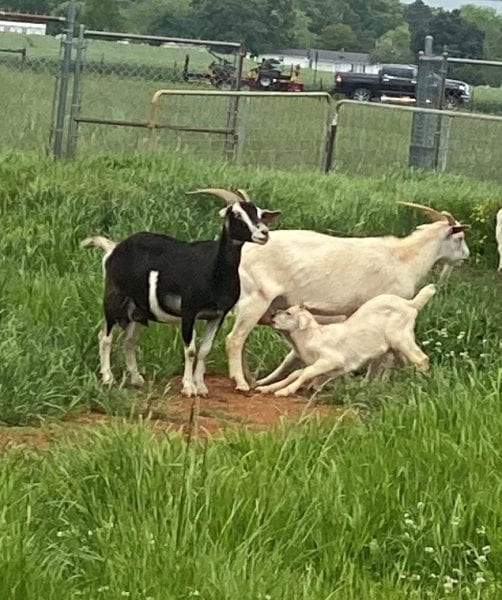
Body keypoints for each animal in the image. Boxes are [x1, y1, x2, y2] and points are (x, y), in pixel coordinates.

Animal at [80, 188, 280, 394]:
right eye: (237, 214)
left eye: (259, 214)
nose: (264, 233)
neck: (213, 269)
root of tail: (113, 248)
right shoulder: (189, 311)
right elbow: (190, 350)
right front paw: (188, 387)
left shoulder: (217, 315)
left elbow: (204, 350)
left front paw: (201, 387)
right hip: (114, 298)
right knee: (105, 337)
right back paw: (108, 378)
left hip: (136, 309)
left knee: (129, 340)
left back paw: (136, 379)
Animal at [255, 284, 436, 396]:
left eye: (289, 313)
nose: (272, 316)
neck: (313, 337)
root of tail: (410, 304)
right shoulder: (326, 367)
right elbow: (297, 373)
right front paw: (267, 388)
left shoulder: (331, 359)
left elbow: (305, 372)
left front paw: (284, 391)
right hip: (395, 345)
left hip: (401, 338)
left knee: (421, 359)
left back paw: (421, 382)